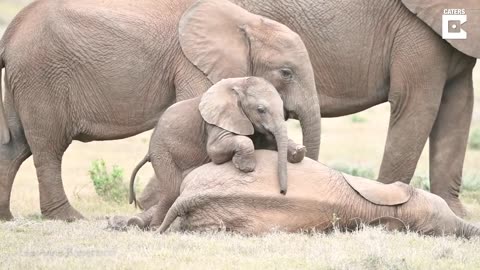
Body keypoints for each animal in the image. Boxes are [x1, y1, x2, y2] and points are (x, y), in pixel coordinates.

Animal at [128, 77, 304, 229]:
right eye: (260, 110)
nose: (282, 192)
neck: (239, 85)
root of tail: (149, 151)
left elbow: (266, 142)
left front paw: (298, 152)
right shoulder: (215, 121)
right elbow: (216, 150)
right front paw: (246, 167)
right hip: (162, 152)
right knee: (171, 190)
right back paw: (156, 227)